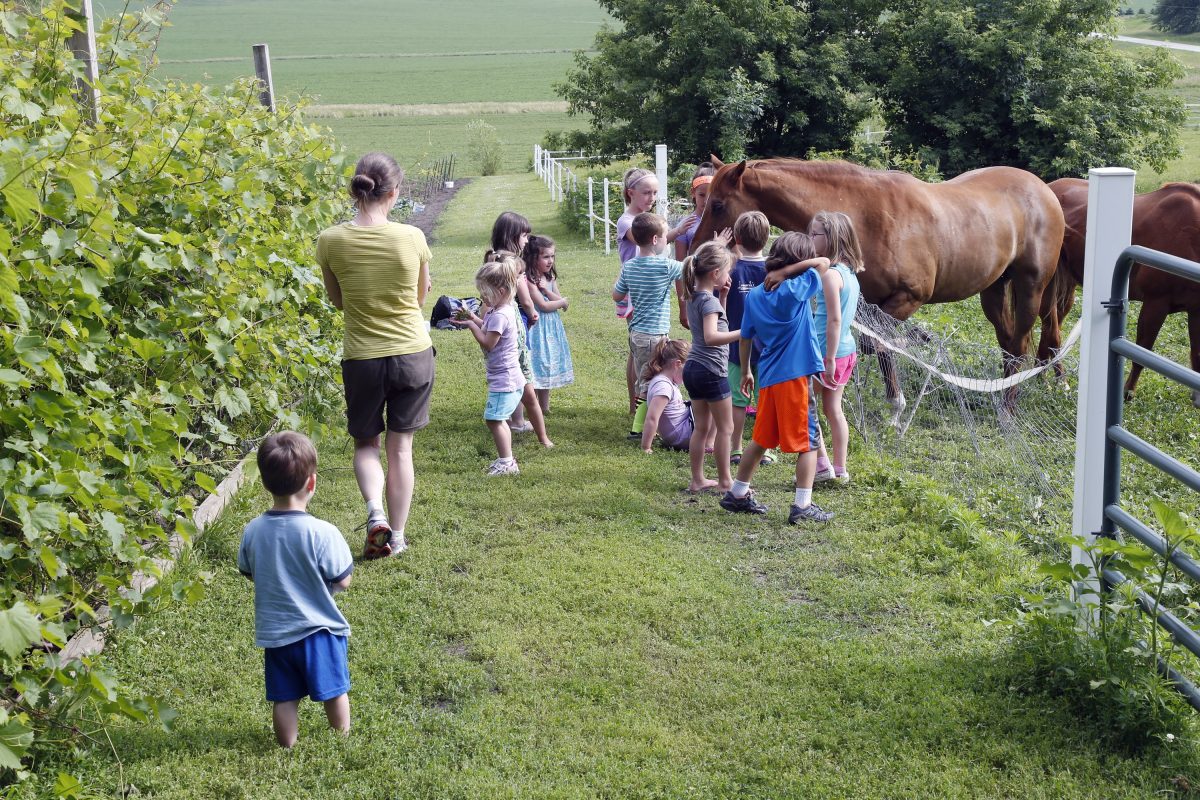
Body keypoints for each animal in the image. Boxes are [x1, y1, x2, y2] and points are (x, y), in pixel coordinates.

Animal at [689, 157, 1066, 409]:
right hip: (995, 291)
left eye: (718, 203)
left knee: (1021, 343)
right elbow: (878, 347)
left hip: (1031, 288)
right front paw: (894, 400)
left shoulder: (908, 297)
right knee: (1009, 344)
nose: (696, 251)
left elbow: (879, 345)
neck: (864, 216)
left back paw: (1010, 407)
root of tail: (1044, 191)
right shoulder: (869, 301)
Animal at [1042, 178, 1200, 407]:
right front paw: (1127, 392)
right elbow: (1142, 351)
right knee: (1051, 332)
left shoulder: (1196, 310)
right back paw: (1058, 381)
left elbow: (1196, 353)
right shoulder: (1155, 304)